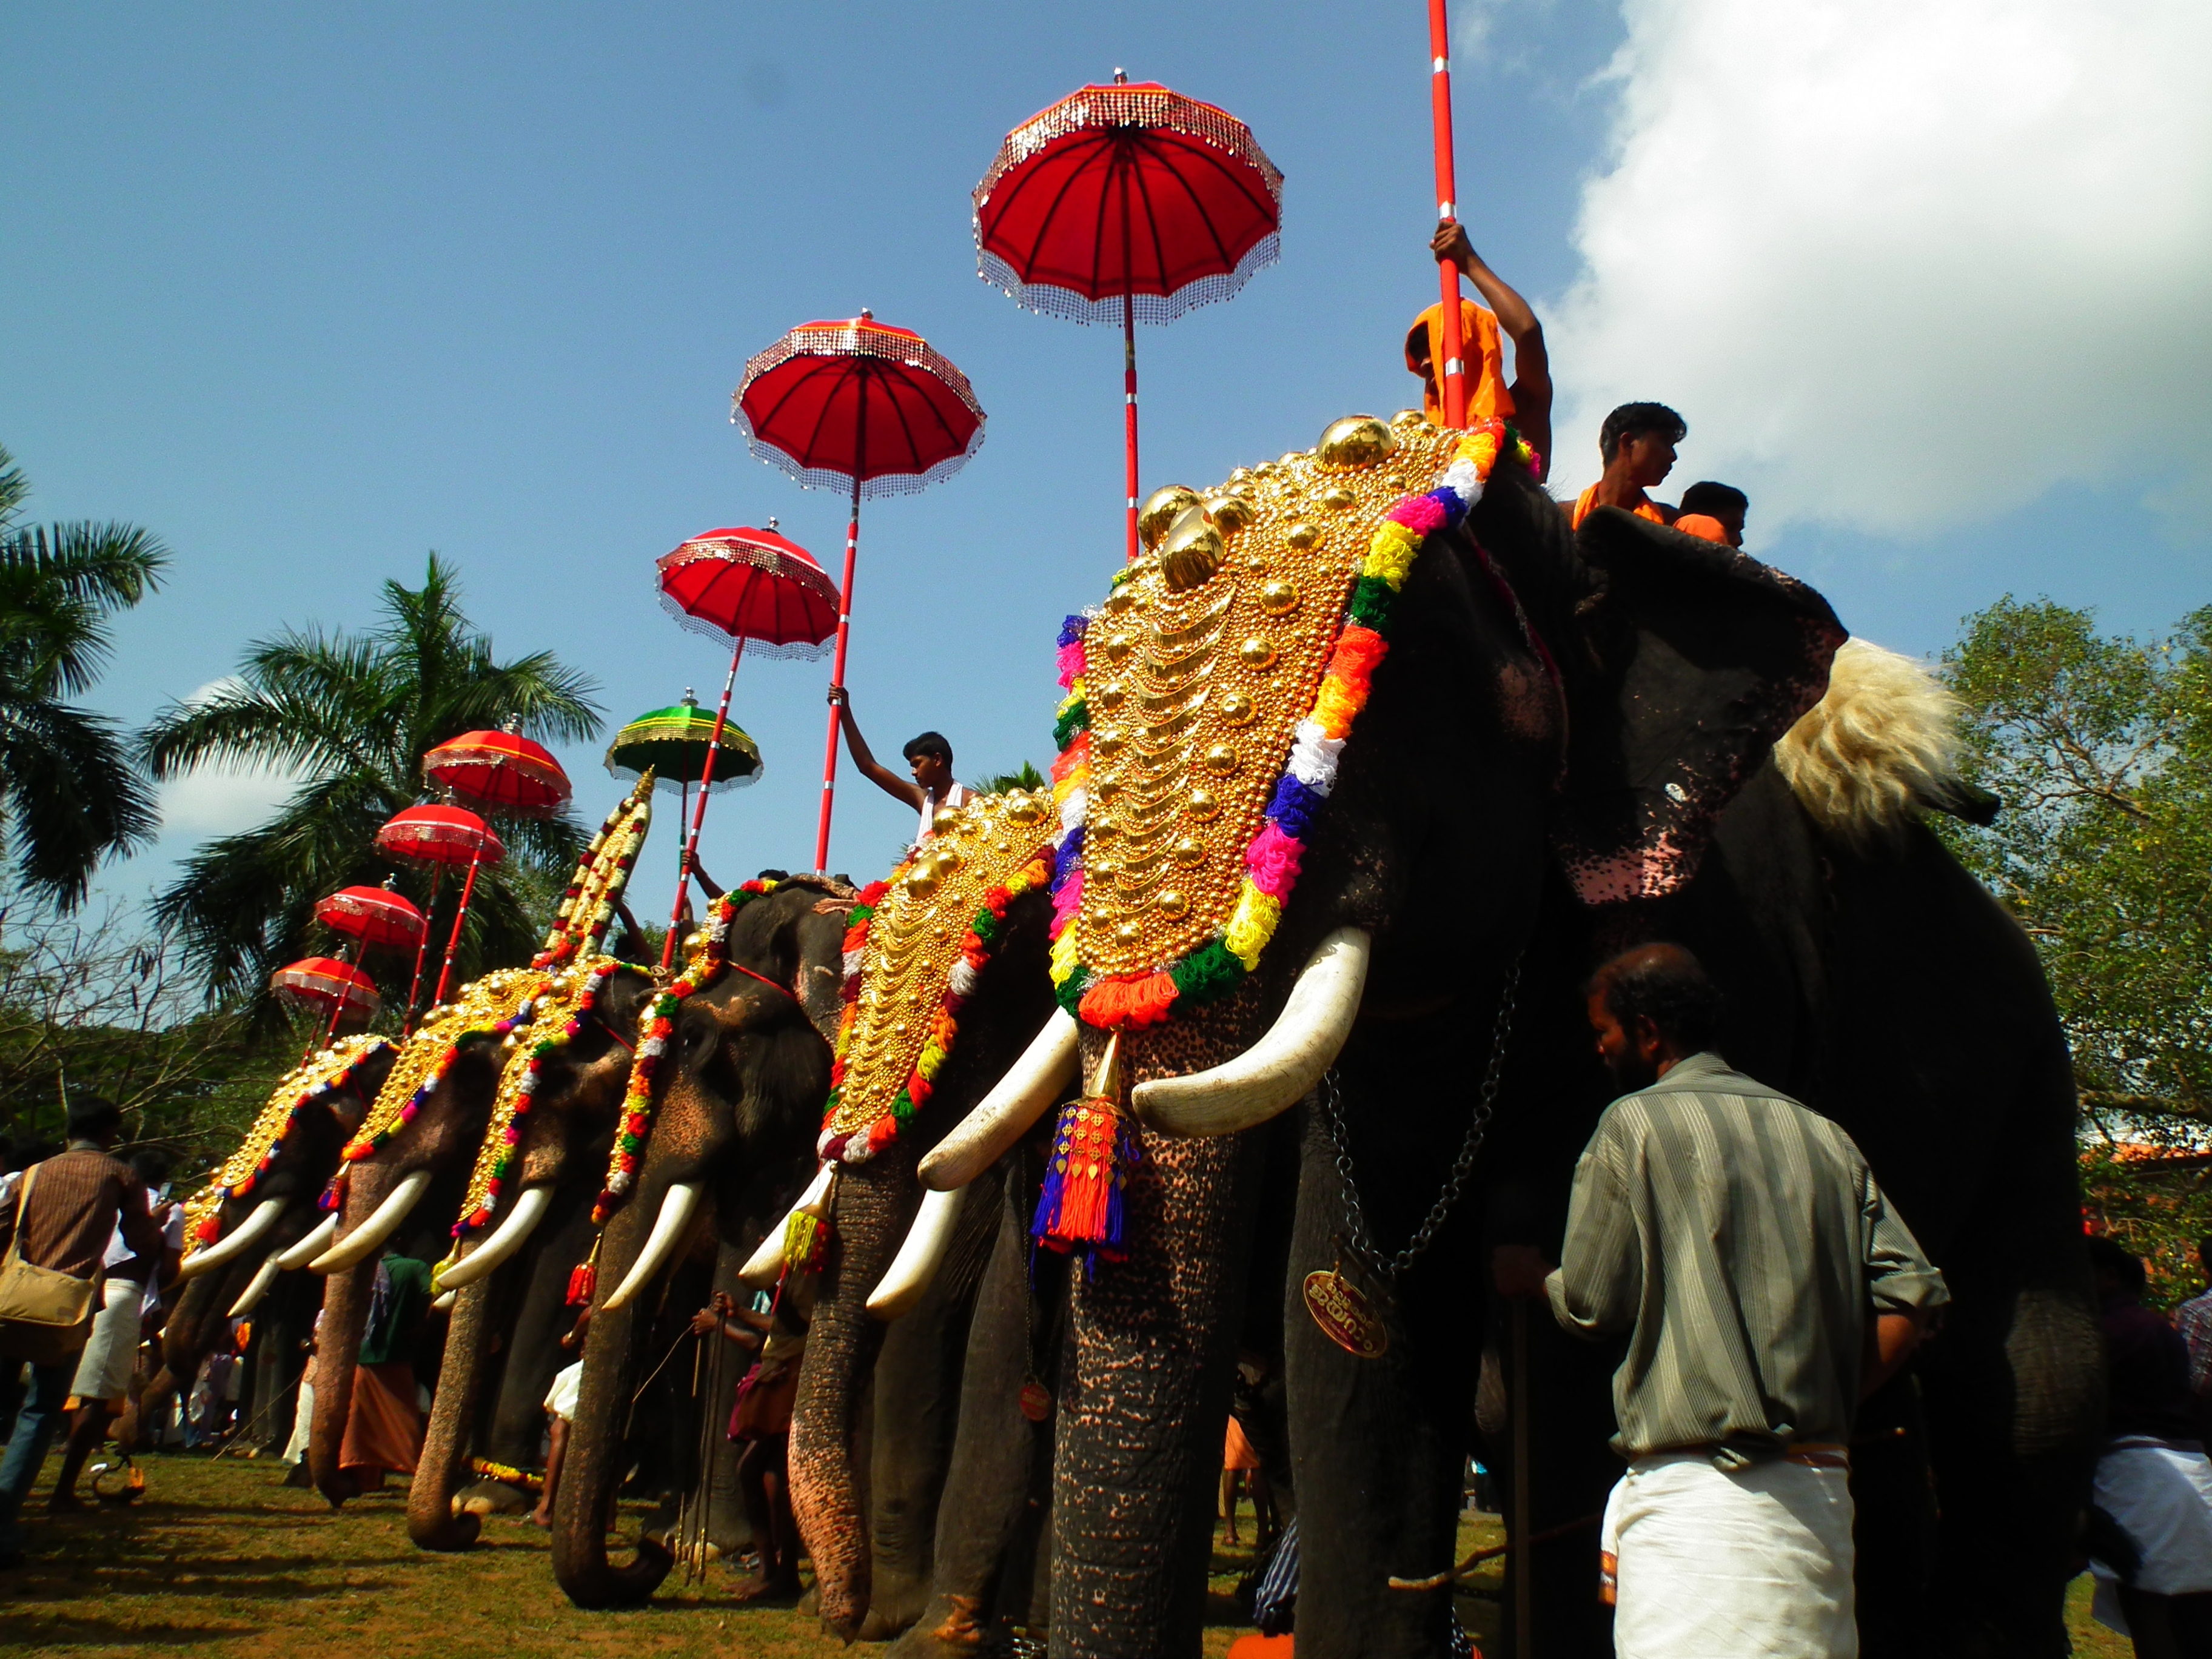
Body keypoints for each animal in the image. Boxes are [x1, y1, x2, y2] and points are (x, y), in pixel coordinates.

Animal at [920, 418, 2105, 1659]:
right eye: (1075, 737)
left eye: (1387, 680)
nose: (1118, 1070)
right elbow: (1349, 1340)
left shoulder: (1719, 939)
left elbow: (1589, 1352)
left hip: (2021, 1046)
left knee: (2030, 1377)